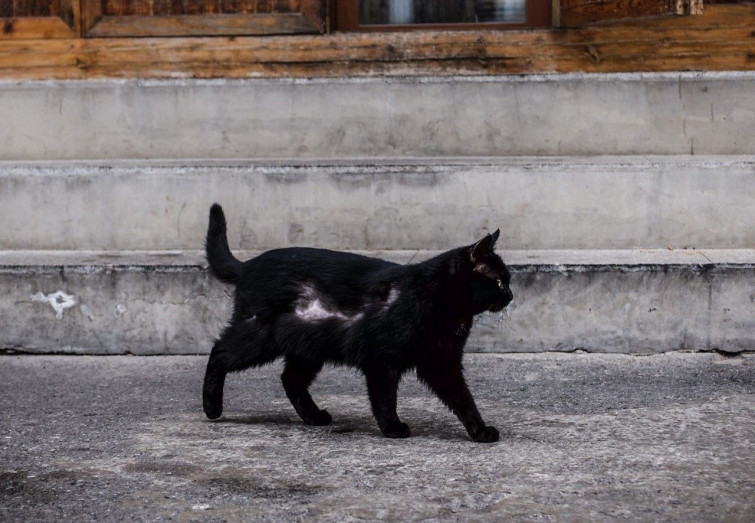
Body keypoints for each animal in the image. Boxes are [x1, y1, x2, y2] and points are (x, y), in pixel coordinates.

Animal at [204, 205, 512, 442]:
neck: (439, 301)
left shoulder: (441, 362)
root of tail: (247, 266)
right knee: (219, 352)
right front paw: (392, 428)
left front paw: (479, 431)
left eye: (507, 281)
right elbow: (384, 398)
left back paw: (314, 416)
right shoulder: (382, 360)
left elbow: (463, 399)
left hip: (308, 347)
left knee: (290, 379)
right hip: (261, 335)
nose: (510, 295)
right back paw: (211, 406)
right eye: (499, 281)